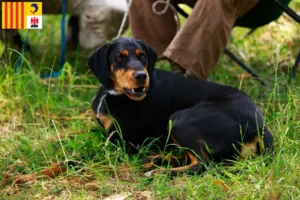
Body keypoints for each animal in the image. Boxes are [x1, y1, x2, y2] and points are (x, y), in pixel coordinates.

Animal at [87, 37, 274, 177]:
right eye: (119, 57)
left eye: (142, 56)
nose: (141, 76)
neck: (111, 93)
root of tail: (260, 123)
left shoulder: (120, 142)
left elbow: (91, 153)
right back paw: (155, 160)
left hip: (179, 119)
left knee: (203, 163)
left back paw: (159, 171)